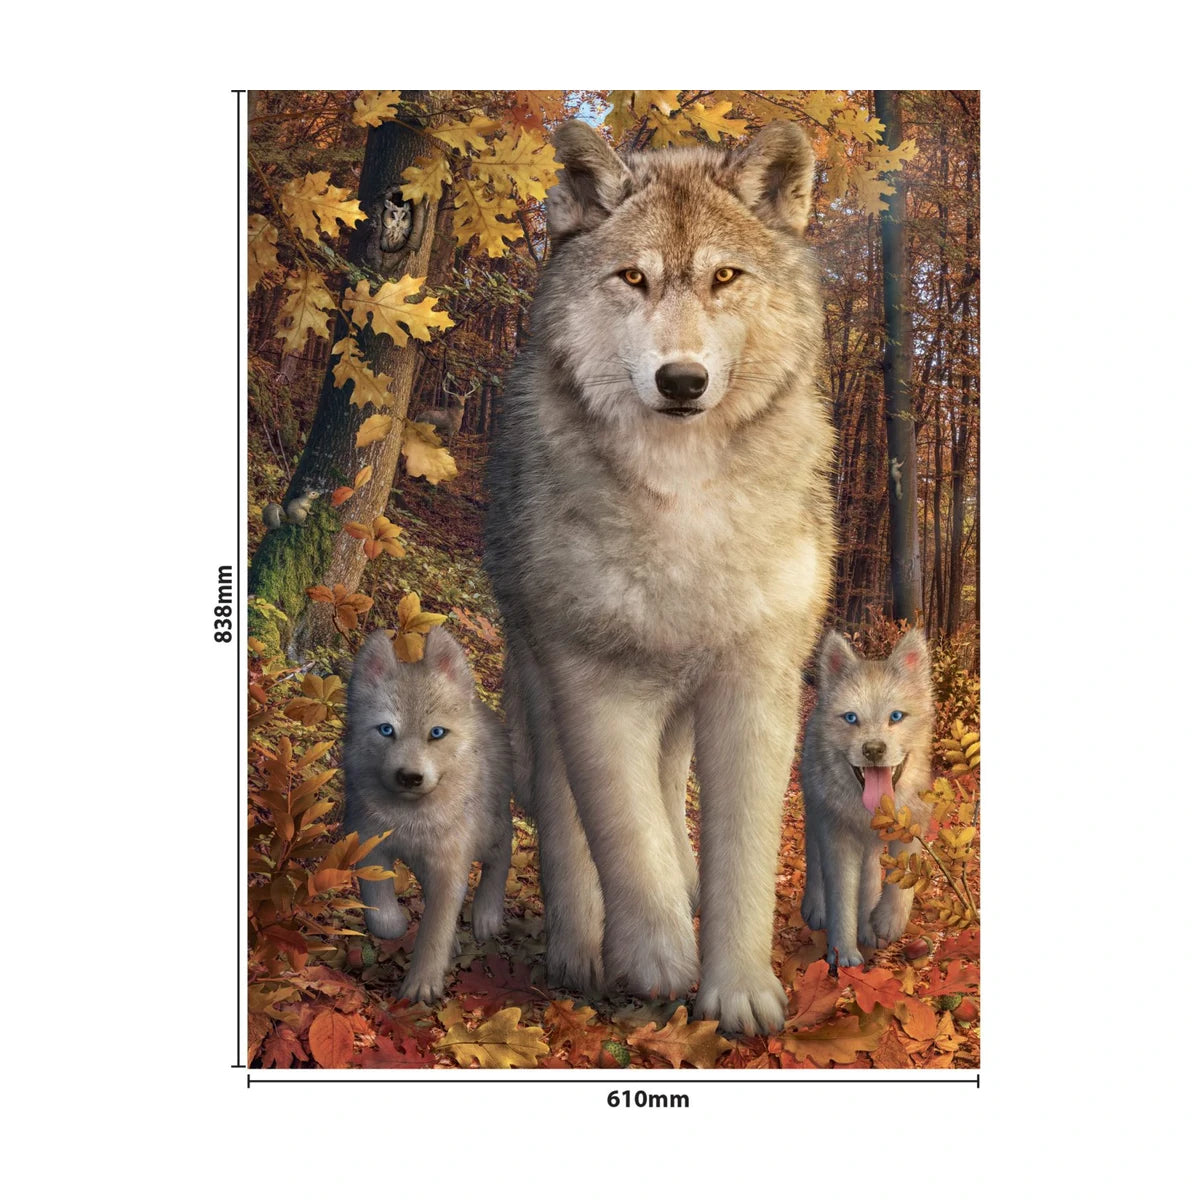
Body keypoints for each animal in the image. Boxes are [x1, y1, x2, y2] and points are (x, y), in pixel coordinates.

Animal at [343, 626, 514, 1004]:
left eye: (436, 733)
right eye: (386, 730)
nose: (409, 777)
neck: (410, 821)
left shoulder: (450, 866)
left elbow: (435, 926)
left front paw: (422, 983)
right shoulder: (365, 838)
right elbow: (378, 903)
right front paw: (394, 924)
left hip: (490, 832)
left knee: (502, 855)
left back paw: (487, 915)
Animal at [483, 119, 835, 1034]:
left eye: (724, 277)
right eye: (633, 278)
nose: (682, 380)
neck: (684, 503)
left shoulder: (757, 687)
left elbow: (742, 855)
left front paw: (740, 992)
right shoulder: (591, 684)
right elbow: (623, 838)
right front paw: (657, 959)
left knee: (674, 794)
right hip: (539, 686)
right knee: (569, 824)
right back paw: (578, 950)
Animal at [800, 629, 933, 967]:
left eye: (896, 716)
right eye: (851, 718)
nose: (873, 750)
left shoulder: (912, 824)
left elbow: (901, 879)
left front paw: (886, 922)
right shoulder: (837, 837)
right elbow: (841, 898)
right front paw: (844, 954)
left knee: (871, 871)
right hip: (815, 815)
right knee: (815, 860)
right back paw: (815, 908)